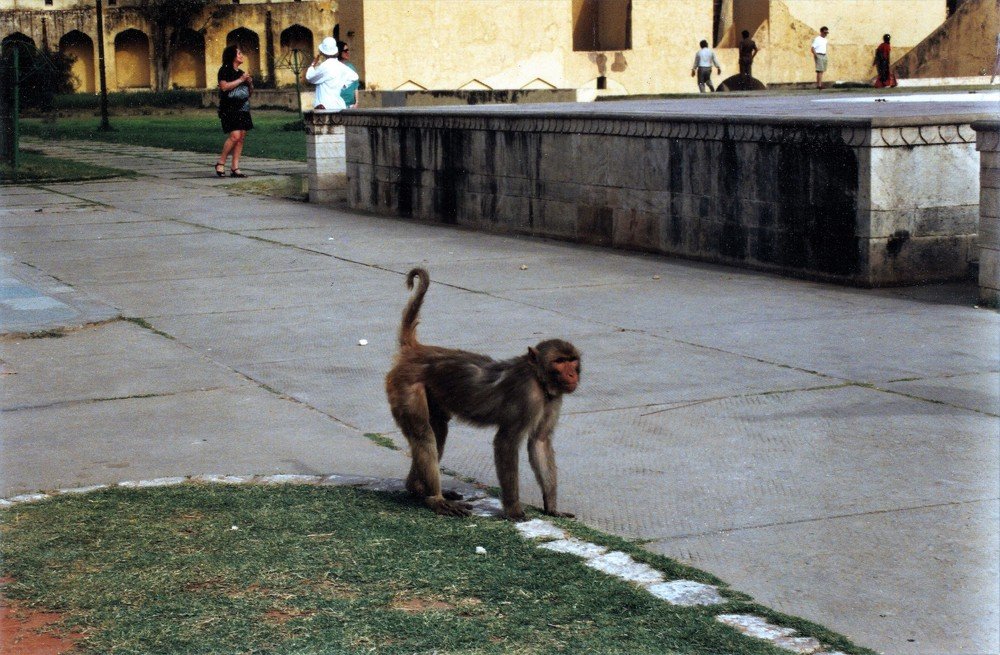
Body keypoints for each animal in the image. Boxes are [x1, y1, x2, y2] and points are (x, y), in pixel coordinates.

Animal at [385, 268, 581, 521]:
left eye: (572, 360)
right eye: (559, 361)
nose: (572, 374)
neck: (538, 378)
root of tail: (416, 351)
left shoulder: (553, 399)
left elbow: (539, 441)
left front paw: (551, 506)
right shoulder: (528, 396)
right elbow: (506, 443)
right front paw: (514, 510)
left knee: (438, 429)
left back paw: (417, 489)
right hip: (404, 386)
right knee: (423, 434)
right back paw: (435, 499)